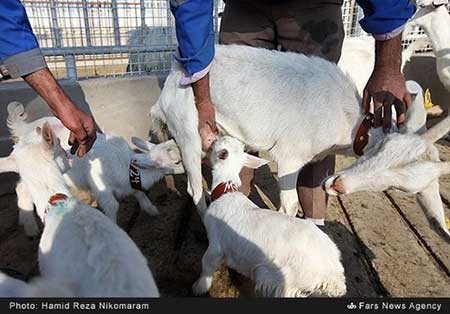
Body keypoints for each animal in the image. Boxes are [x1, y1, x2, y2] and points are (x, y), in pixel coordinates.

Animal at [0, 123, 160, 296]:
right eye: (60, 147)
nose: (70, 157)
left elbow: (136, 193)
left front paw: (151, 209)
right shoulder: (101, 185)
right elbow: (114, 204)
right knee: (22, 189)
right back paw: (29, 226)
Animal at [152, 43, 428, 216]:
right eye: (379, 156)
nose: (339, 186)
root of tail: (174, 72)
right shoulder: (290, 157)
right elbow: (290, 206)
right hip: (187, 132)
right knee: (194, 189)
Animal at [192, 137, 344, 296]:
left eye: (219, 145)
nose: (215, 138)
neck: (226, 191)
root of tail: (332, 276)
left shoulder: (216, 244)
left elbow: (206, 266)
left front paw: (198, 288)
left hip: (281, 279)